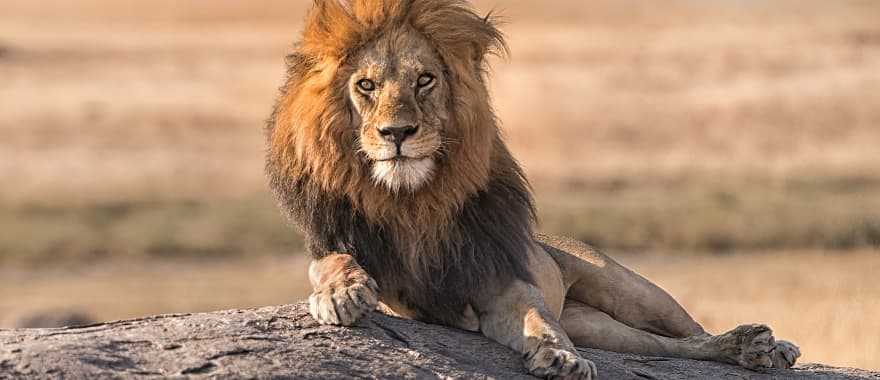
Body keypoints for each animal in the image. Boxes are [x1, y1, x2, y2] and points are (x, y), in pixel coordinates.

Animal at [264, 1, 800, 378]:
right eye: (367, 86)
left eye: (425, 80)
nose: (397, 133)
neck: (413, 199)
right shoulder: (377, 272)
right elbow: (330, 262)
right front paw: (342, 292)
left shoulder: (501, 279)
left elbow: (537, 320)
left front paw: (561, 358)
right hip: (600, 328)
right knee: (669, 348)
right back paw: (748, 348)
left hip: (630, 290)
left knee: (688, 331)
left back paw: (766, 346)